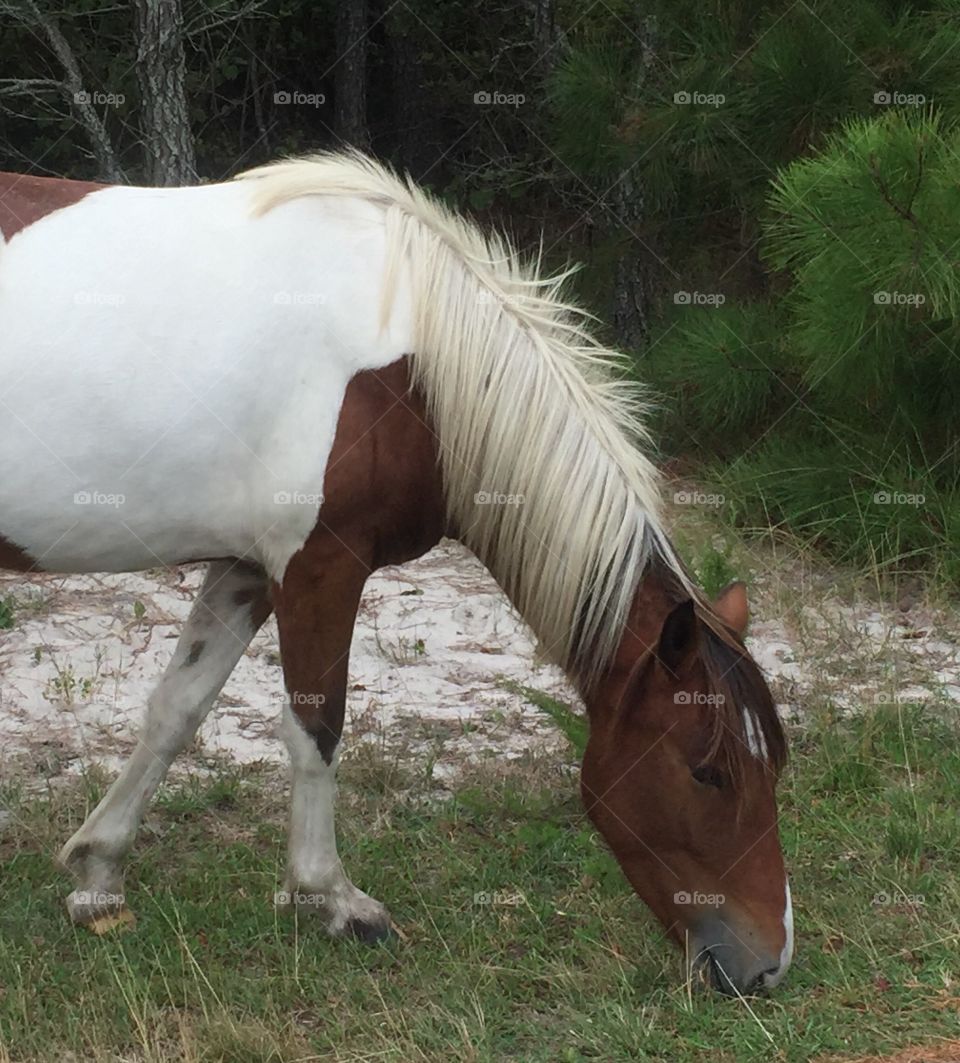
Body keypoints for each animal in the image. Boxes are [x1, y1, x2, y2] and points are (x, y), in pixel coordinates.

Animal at [0, 153, 792, 995]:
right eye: (707, 770)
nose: (767, 963)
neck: (417, 373)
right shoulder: (320, 563)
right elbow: (316, 727)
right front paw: (335, 900)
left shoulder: (247, 567)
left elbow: (175, 711)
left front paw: (98, 875)